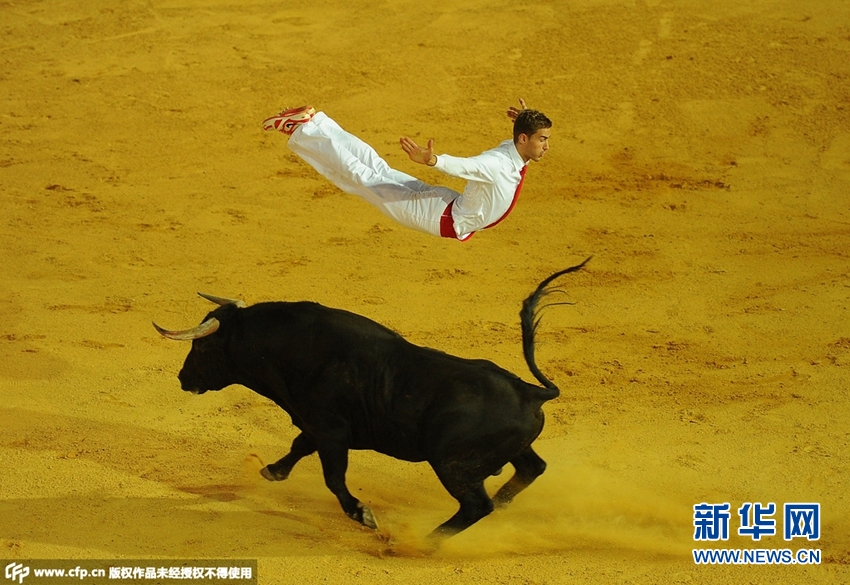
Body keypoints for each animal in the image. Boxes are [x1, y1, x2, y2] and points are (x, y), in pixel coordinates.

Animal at [153, 258, 589, 544]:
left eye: (203, 348)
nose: (183, 378)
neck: (290, 346)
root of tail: (533, 391)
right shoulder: (316, 424)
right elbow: (298, 446)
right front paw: (272, 471)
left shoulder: (332, 431)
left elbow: (333, 477)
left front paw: (364, 515)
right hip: (506, 452)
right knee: (531, 469)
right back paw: (498, 508)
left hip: (451, 463)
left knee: (475, 506)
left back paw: (421, 542)